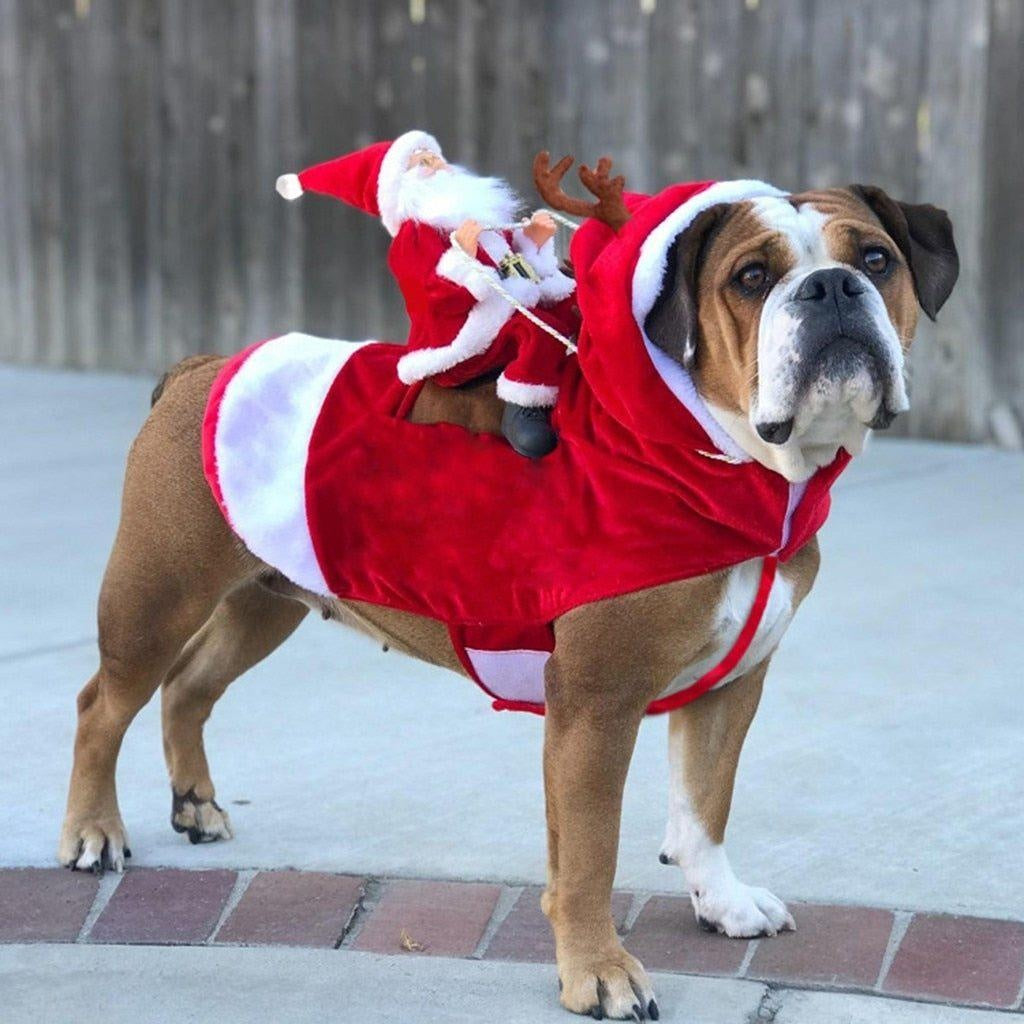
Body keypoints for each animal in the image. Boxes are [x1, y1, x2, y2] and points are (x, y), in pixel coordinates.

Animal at [59, 174, 954, 1015]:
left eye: (877, 259)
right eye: (752, 277)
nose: (833, 287)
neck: (717, 456)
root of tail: (201, 367)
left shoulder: (732, 687)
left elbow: (706, 805)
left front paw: (723, 903)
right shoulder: (595, 708)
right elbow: (590, 854)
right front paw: (600, 973)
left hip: (265, 599)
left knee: (189, 688)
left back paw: (195, 805)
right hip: (156, 597)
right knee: (104, 704)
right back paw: (94, 834)